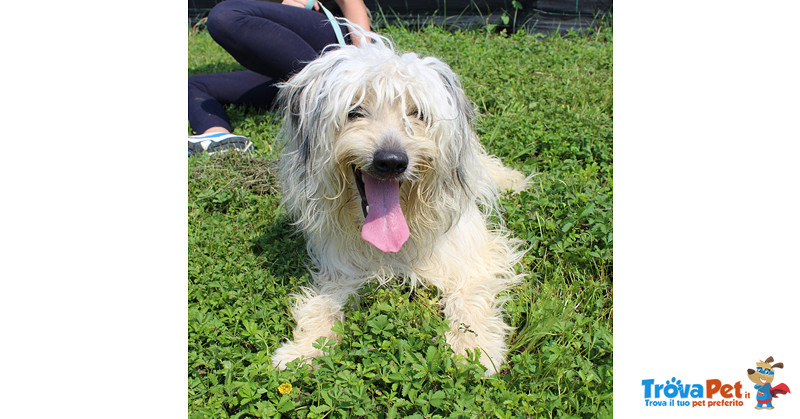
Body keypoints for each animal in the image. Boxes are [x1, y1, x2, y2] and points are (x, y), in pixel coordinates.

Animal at [272, 32, 528, 374]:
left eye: (416, 113)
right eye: (355, 110)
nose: (391, 161)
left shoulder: (469, 252)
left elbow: (469, 292)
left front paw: (473, 346)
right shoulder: (340, 269)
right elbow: (323, 303)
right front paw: (305, 348)